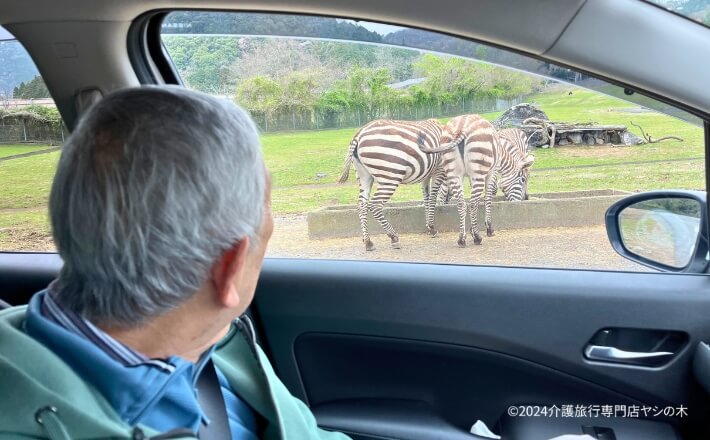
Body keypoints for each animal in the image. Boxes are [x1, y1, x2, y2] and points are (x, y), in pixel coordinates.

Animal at [338, 118, 456, 251]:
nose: (447, 205)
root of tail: (359, 134)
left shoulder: (426, 175)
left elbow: (426, 198)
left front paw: (428, 228)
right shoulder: (438, 170)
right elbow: (432, 198)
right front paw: (432, 228)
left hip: (364, 176)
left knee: (362, 204)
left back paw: (368, 241)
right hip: (390, 176)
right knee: (374, 205)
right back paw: (393, 237)